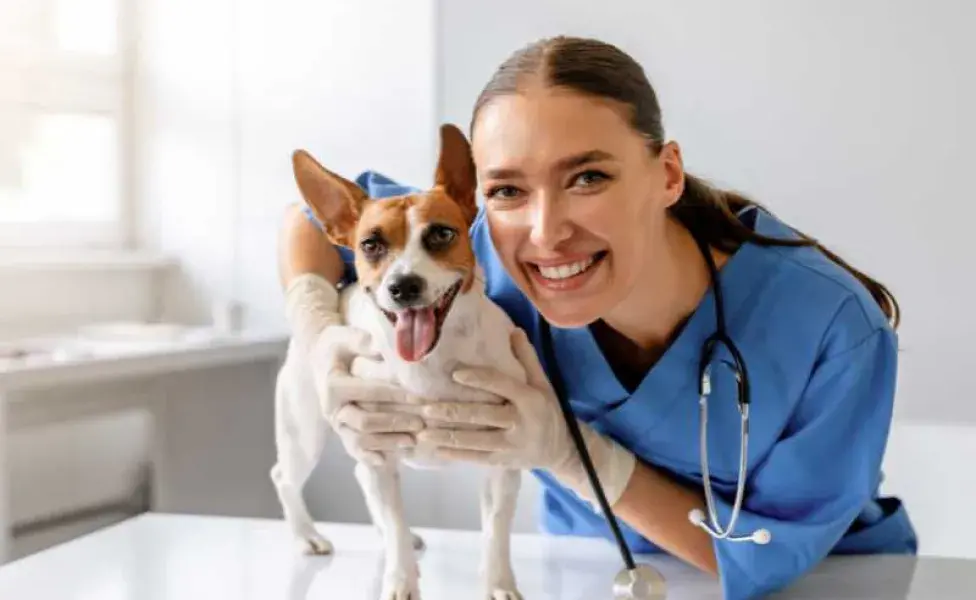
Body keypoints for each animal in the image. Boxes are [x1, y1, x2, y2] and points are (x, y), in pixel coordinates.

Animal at [270, 124, 528, 596]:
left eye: (441, 234)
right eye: (370, 244)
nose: (403, 286)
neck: (432, 359)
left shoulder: (503, 464)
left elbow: (496, 532)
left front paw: (499, 583)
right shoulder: (376, 451)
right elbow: (392, 523)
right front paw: (400, 580)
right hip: (307, 434)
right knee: (288, 477)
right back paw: (306, 535)